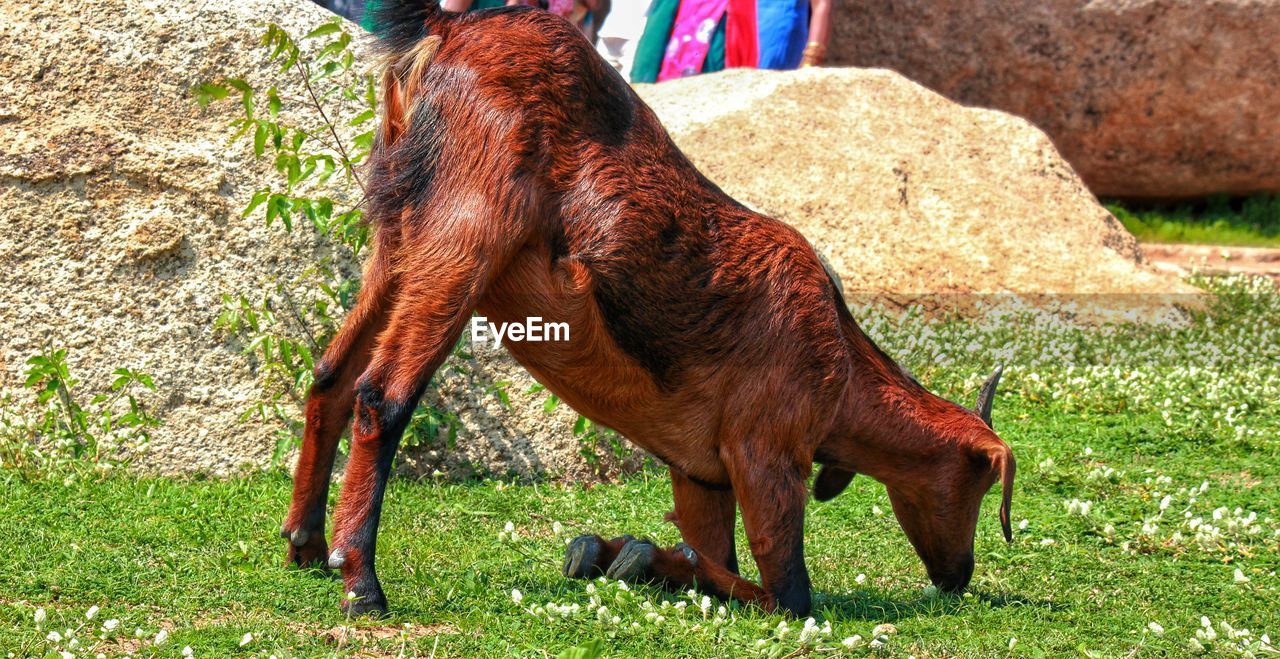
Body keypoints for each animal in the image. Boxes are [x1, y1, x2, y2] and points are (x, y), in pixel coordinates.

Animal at [280, 0, 1018, 619]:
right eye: (979, 482)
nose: (959, 576)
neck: (839, 357)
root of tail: (447, 28)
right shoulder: (767, 451)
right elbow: (786, 593)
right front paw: (629, 554)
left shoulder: (700, 472)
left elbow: (713, 553)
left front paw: (626, 556)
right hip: (465, 231)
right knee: (382, 395)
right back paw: (361, 582)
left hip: (397, 236)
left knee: (331, 377)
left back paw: (307, 547)